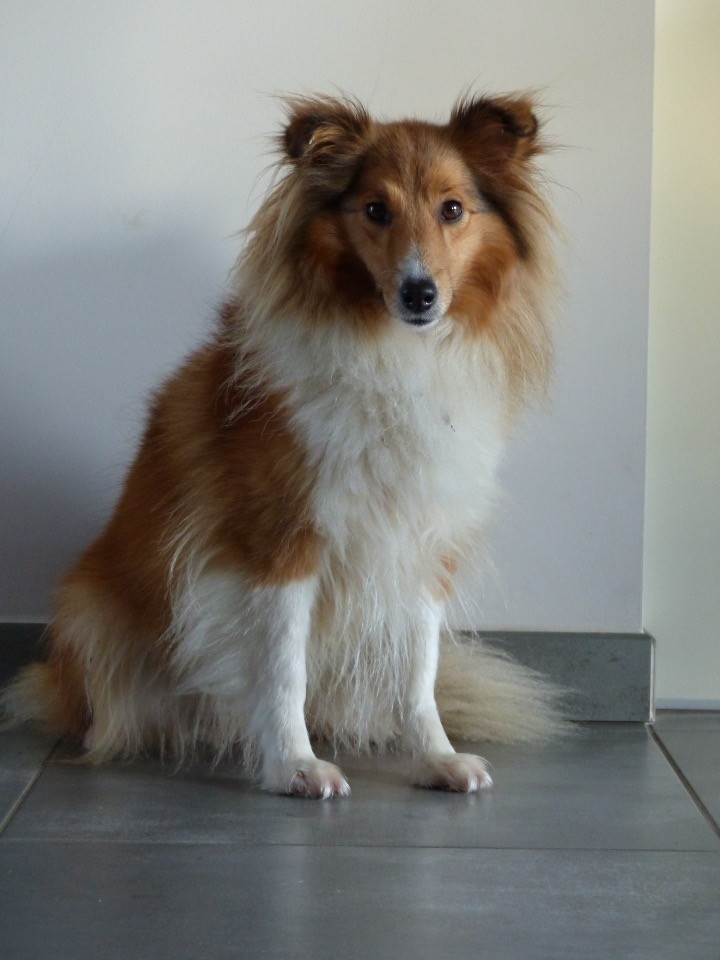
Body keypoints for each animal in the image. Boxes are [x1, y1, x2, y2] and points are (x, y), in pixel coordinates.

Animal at [1, 92, 564, 796]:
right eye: (375, 209)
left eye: (453, 209)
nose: (420, 293)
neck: (392, 351)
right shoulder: (279, 539)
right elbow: (281, 669)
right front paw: (294, 765)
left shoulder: (418, 543)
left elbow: (419, 674)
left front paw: (437, 758)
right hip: (89, 609)